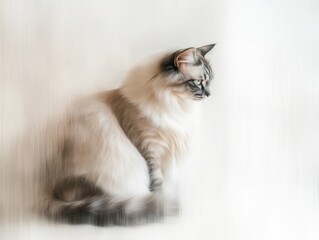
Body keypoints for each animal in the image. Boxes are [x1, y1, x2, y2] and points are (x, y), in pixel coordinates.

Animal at [38, 44, 218, 226]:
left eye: (210, 81)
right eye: (198, 82)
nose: (209, 94)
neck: (175, 104)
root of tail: (51, 192)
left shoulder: (170, 153)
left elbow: (170, 179)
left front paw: (168, 195)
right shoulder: (150, 150)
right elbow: (157, 182)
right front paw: (162, 201)